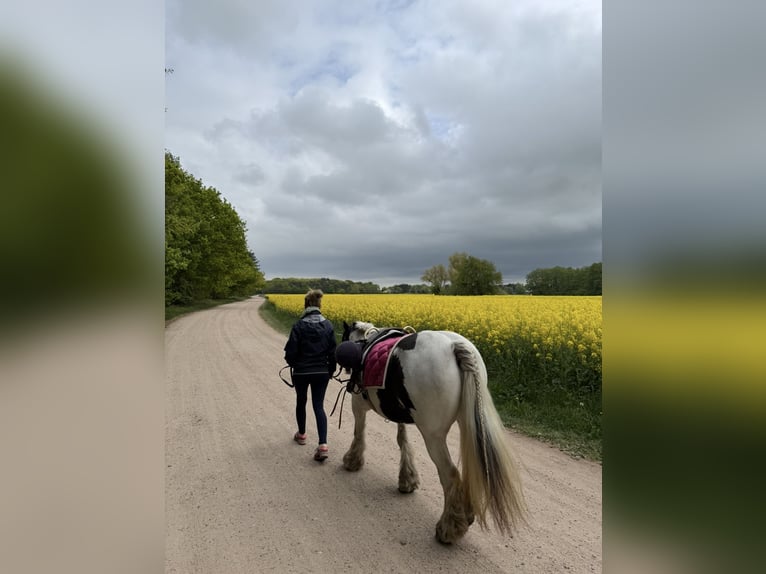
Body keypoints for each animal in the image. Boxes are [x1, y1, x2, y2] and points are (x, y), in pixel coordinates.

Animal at [338, 320, 526, 544]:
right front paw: (407, 479)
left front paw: (352, 461)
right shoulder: (400, 412)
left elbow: (359, 432)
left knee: (450, 474)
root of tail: (455, 346)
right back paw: (465, 514)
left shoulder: (358, 405)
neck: (366, 342)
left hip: (433, 436)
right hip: (466, 422)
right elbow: (402, 439)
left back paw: (449, 528)